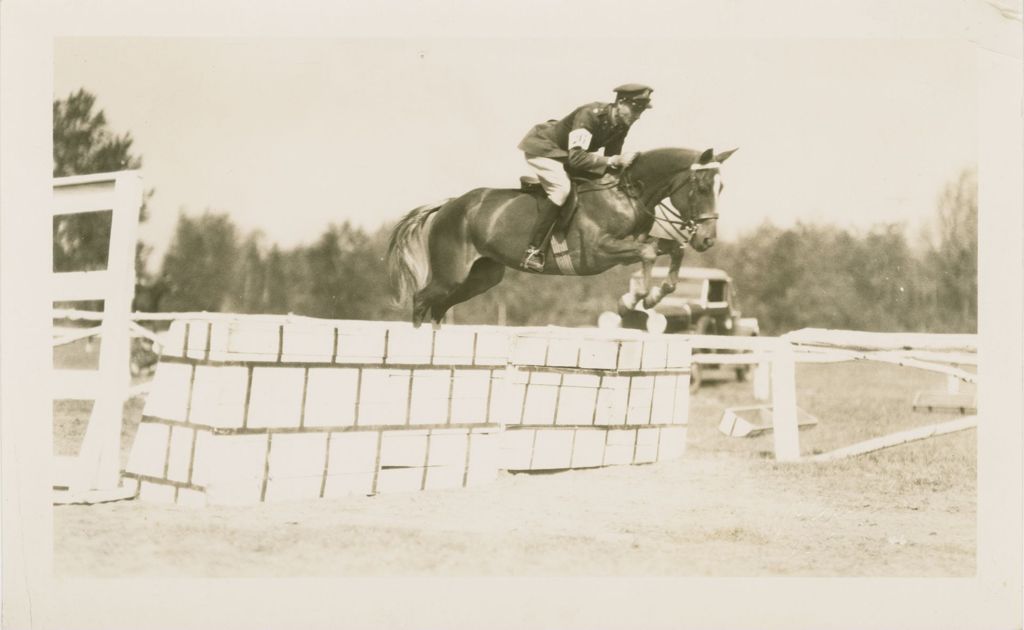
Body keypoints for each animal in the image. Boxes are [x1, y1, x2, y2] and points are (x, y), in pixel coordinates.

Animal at [385, 145, 737, 327]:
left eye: (721, 188)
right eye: (702, 188)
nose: (707, 239)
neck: (627, 192)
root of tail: (448, 205)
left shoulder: (632, 243)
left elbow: (673, 249)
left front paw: (656, 294)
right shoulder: (597, 253)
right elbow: (649, 254)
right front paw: (637, 299)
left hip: (482, 277)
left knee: (440, 307)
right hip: (451, 274)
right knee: (421, 300)